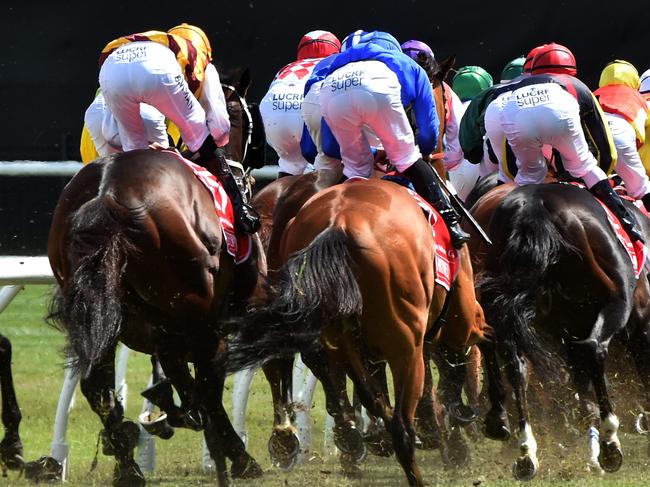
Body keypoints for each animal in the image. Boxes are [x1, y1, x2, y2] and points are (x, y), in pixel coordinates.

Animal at [45, 68, 264, 487]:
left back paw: (128, 465)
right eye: (248, 118)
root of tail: (106, 194)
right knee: (199, 382)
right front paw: (238, 456)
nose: (254, 161)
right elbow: (206, 389)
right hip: (195, 309)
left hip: (99, 311)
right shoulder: (209, 323)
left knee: (96, 384)